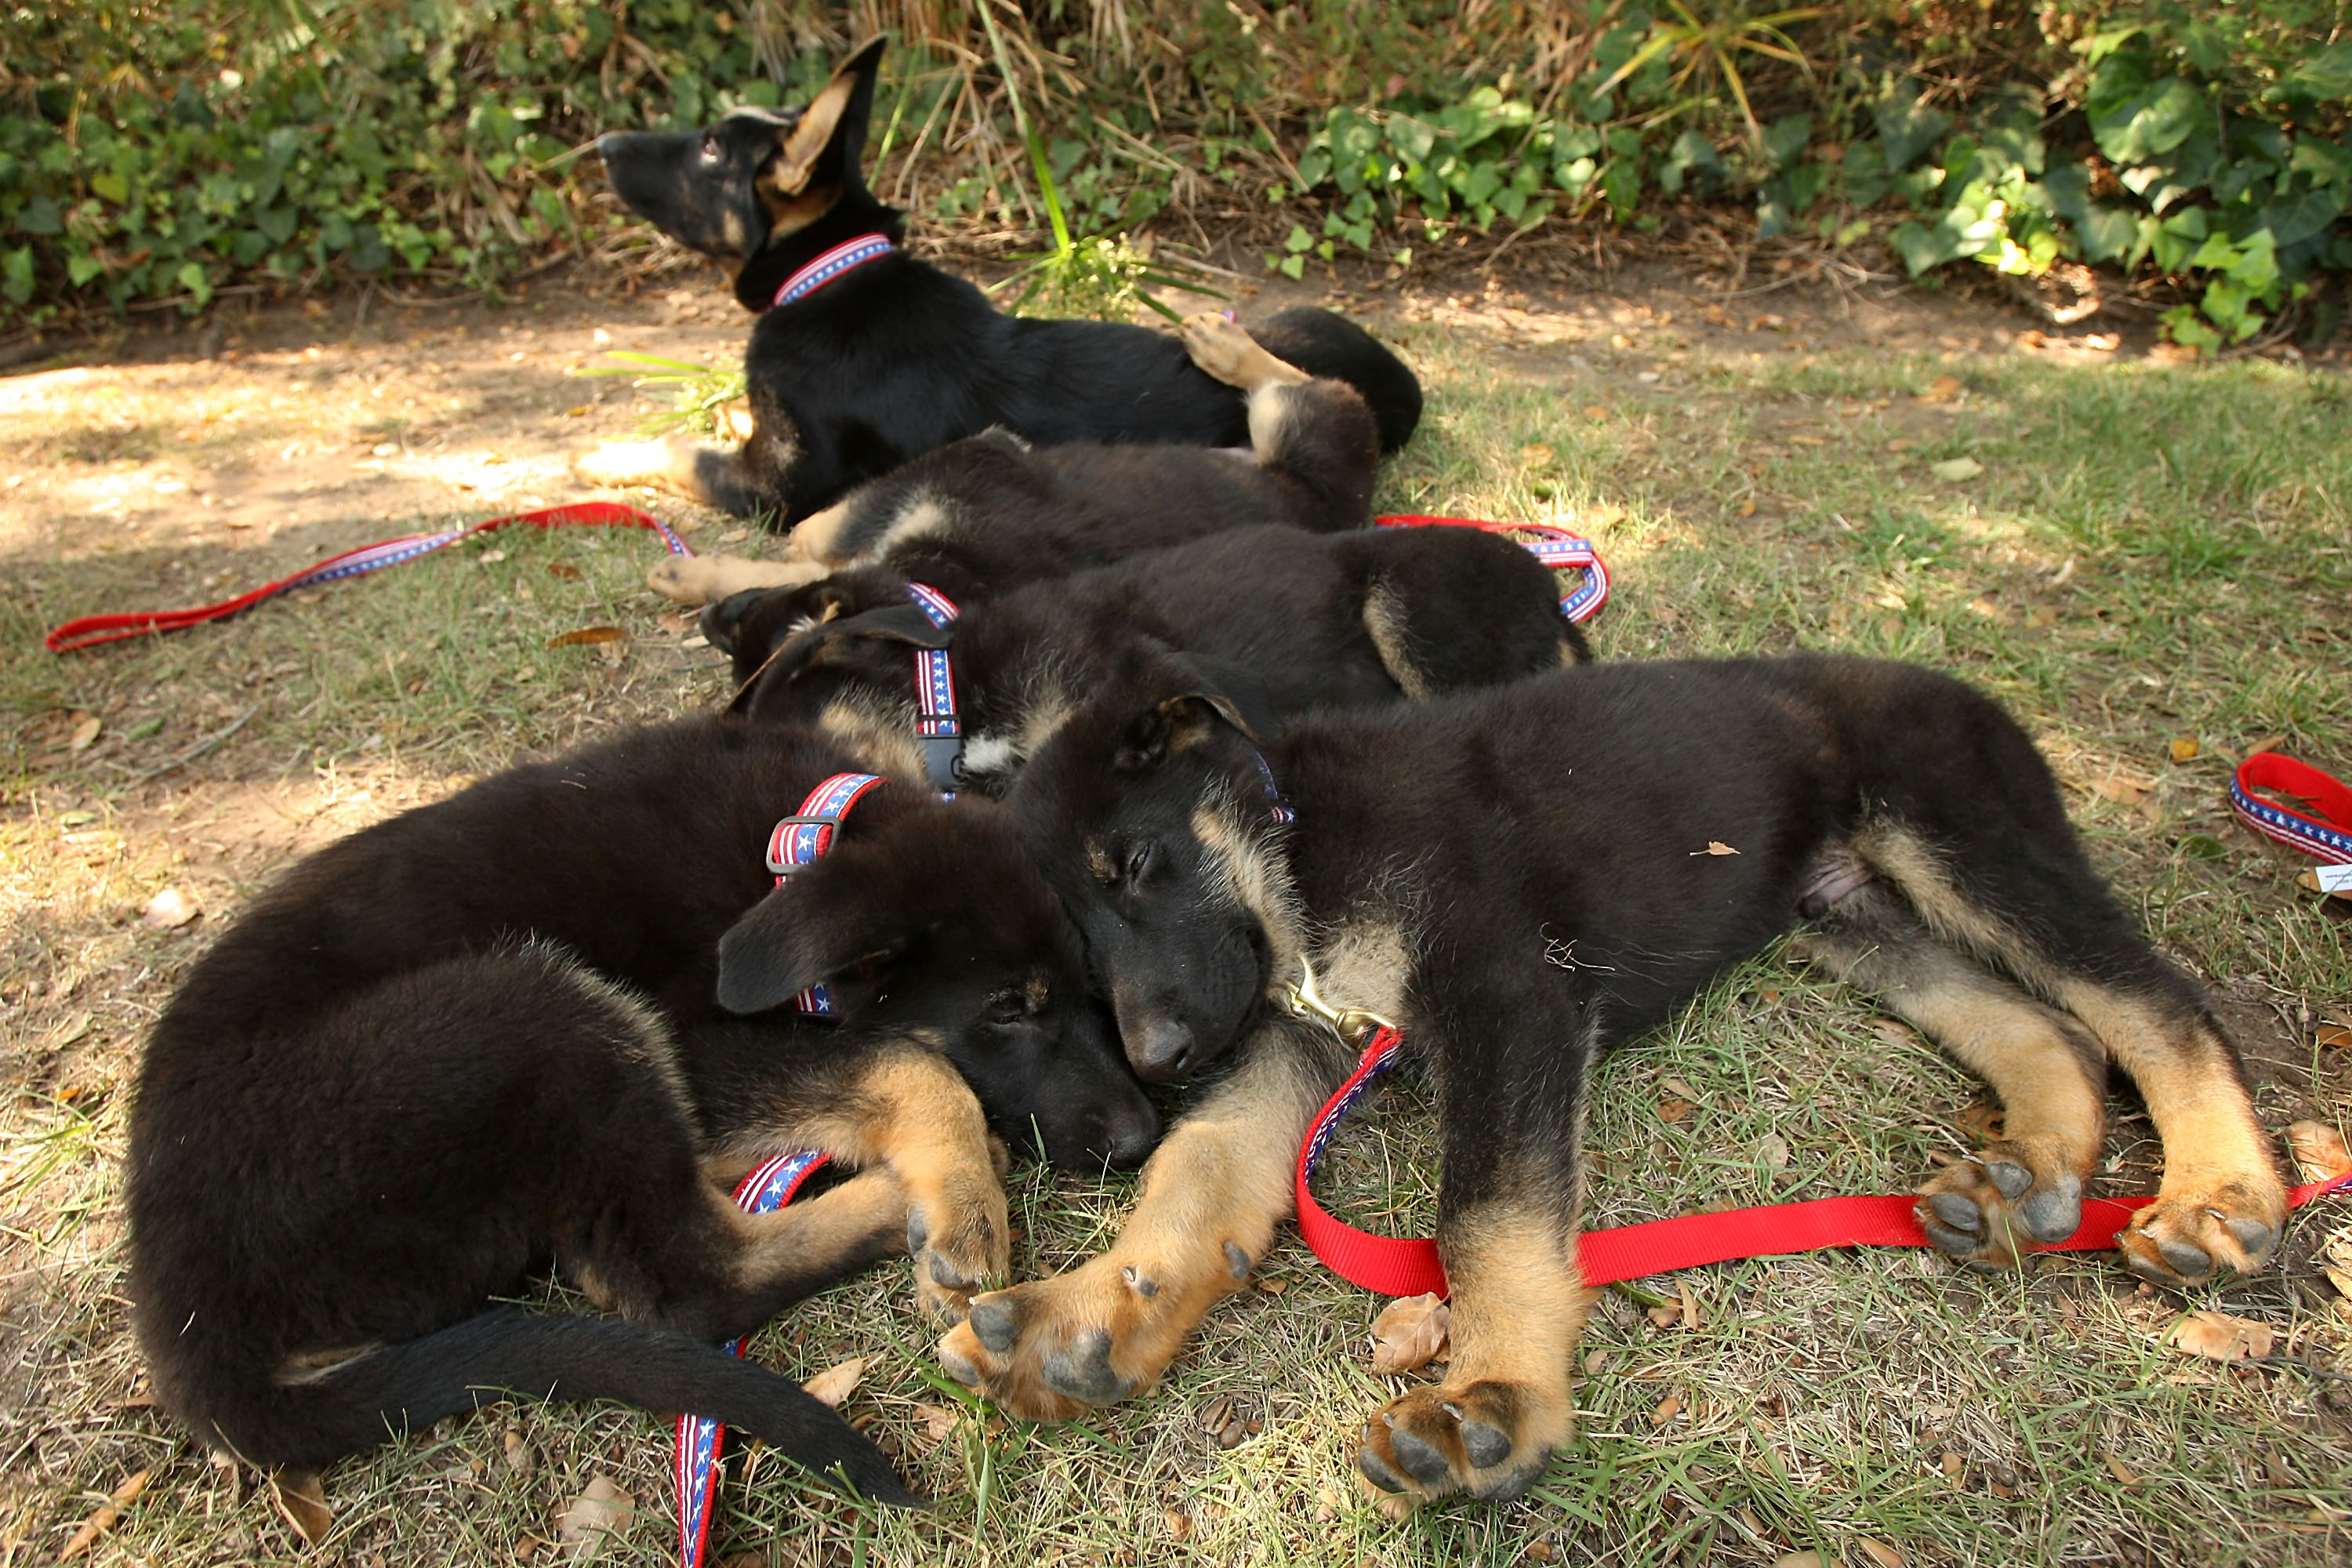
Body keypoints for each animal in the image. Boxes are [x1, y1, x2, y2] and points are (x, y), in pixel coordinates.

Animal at [129, 714, 1157, 1504]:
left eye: (1088, 987)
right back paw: (890, 1202)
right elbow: (911, 1058)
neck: (793, 842)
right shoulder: (696, 1041)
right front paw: (964, 1202)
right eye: (1007, 1007)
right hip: (535, 1007)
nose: (1144, 1136)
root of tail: (191, 1331)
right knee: (687, 1282)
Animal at [579, 34, 1421, 526]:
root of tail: (1403, 383)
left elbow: (677, 452)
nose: (602, 143)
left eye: (710, 149)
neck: (826, 272)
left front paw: (597, 457)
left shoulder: (778, 489)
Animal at [635, 314, 1383, 611]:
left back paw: (1228, 346)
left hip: (1301, 424)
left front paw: (700, 571)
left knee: (1304, 382)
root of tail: (1349, 502)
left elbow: (823, 531)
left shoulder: (974, 456)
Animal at [936, 648, 2277, 1504]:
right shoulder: (1296, 1035)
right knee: (2045, 1027)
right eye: (1074, 939)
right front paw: (1094, 1313)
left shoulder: (1507, 995)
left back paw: (2221, 1195)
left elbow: (1487, 1215)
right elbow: (1200, 1168)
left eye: (1134, 864)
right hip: (1843, 910)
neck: (1299, 845)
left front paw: (1494, 1399)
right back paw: (2033, 1175)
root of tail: (1957, 685)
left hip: (1959, 830)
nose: (1161, 1060)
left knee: (2152, 1000)